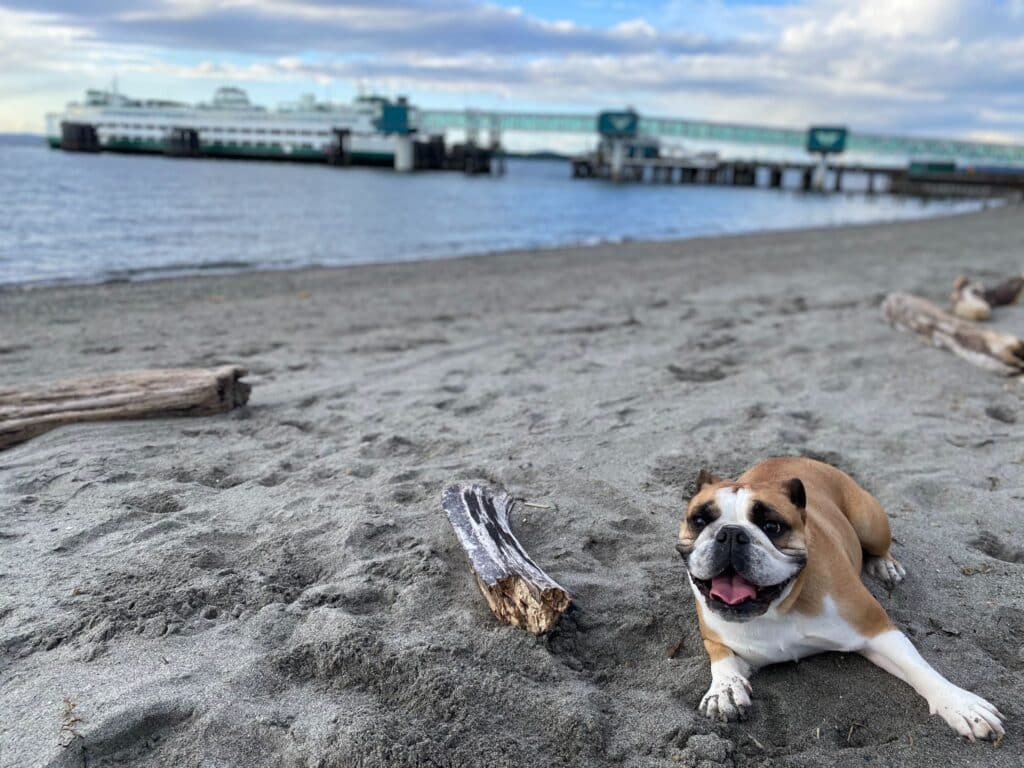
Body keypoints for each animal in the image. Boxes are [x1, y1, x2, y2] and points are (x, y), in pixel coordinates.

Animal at [675, 456, 1003, 741]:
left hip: (870, 524)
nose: (731, 533)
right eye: (699, 520)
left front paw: (960, 704)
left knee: (880, 546)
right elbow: (721, 657)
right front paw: (725, 690)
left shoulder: (877, 630)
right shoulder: (718, 637)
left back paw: (885, 565)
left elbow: (919, 668)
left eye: (772, 527)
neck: (781, 607)